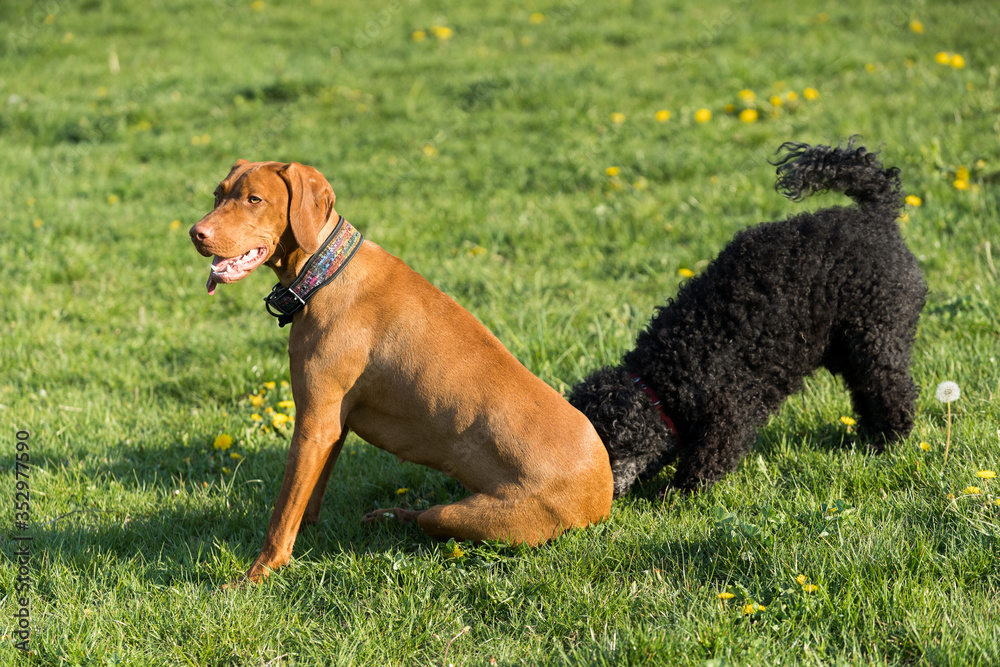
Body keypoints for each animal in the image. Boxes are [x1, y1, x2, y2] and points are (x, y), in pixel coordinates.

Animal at [187, 162, 608, 584]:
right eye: (217, 194)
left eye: (254, 199)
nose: (196, 233)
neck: (325, 270)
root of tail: (602, 493)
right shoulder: (331, 424)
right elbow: (305, 500)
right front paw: (302, 538)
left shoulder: (314, 424)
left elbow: (281, 513)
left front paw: (257, 574)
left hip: (464, 515)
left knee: (428, 519)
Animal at [576, 141, 924, 496]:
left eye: (605, 451)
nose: (600, 492)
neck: (664, 377)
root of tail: (877, 217)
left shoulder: (730, 413)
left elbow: (707, 459)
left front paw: (678, 492)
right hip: (849, 347)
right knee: (867, 392)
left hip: (877, 336)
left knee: (892, 389)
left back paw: (888, 441)